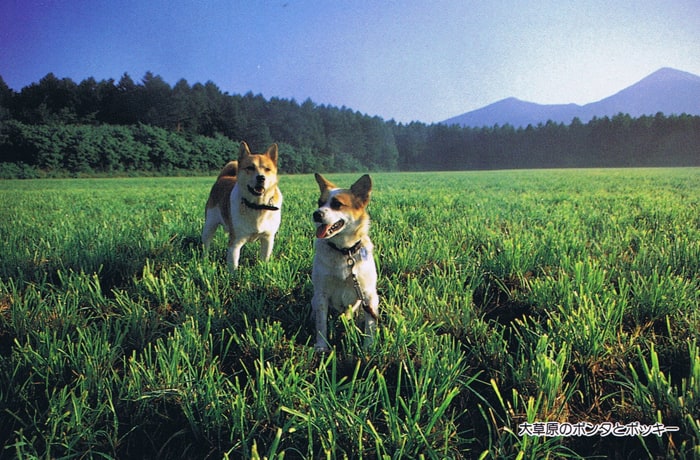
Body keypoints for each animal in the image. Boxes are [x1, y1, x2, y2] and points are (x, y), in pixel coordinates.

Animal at [201, 140, 284, 270]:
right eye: (250, 167)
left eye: (267, 169)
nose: (261, 177)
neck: (257, 205)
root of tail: (223, 177)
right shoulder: (235, 243)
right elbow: (234, 265)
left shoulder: (268, 239)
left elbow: (264, 259)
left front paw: (262, 270)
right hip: (209, 225)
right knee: (206, 245)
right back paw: (204, 261)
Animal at [310, 173, 378, 352]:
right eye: (319, 203)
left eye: (337, 204)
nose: (316, 214)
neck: (344, 251)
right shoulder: (321, 294)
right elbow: (321, 324)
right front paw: (321, 346)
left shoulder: (369, 295)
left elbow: (370, 324)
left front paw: (368, 347)